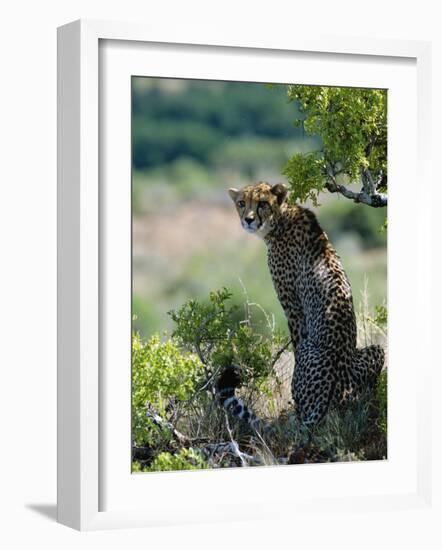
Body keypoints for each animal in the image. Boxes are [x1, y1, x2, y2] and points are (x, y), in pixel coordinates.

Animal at [224, 181, 384, 426]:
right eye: (242, 203)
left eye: (262, 203)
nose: (248, 220)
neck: (280, 219)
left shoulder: (293, 308)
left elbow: (296, 345)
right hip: (377, 350)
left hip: (313, 349)